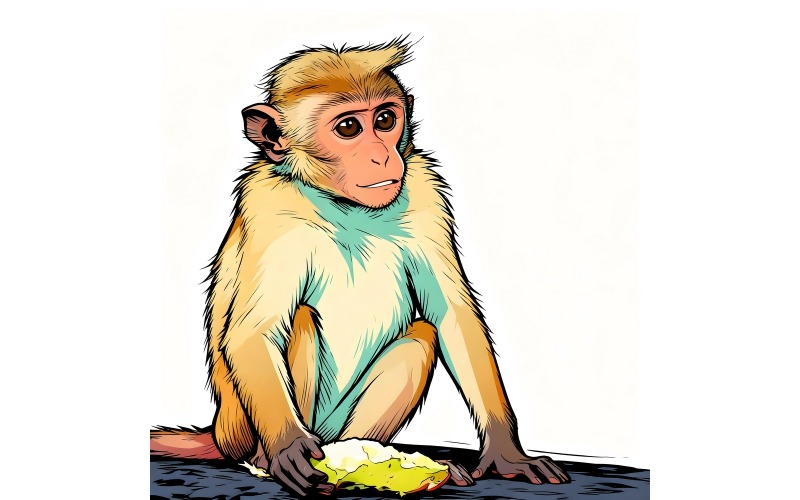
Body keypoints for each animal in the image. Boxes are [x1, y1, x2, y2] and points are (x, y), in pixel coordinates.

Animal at [151, 39, 571, 497]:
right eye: (349, 128)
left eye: (385, 119)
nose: (381, 157)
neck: (347, 208)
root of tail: (218, 429)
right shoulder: (268, 205)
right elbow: (253, 331)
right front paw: (288, 446)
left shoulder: (424, 191)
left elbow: (452, 315)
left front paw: (506, 454)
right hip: (242, 428)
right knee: (301, 319)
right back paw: (271, 459)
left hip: (337, 423)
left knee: (420, 338)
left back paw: (371, 456)